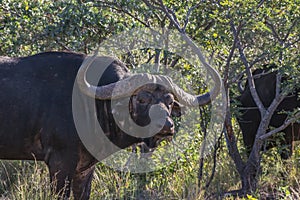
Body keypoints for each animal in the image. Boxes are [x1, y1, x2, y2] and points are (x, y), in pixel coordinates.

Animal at [0, 51, 220, 198]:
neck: (91, 104)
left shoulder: (85, 167)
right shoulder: (60, 161)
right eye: (142, 99)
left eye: (169, 100)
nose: (167, 126)